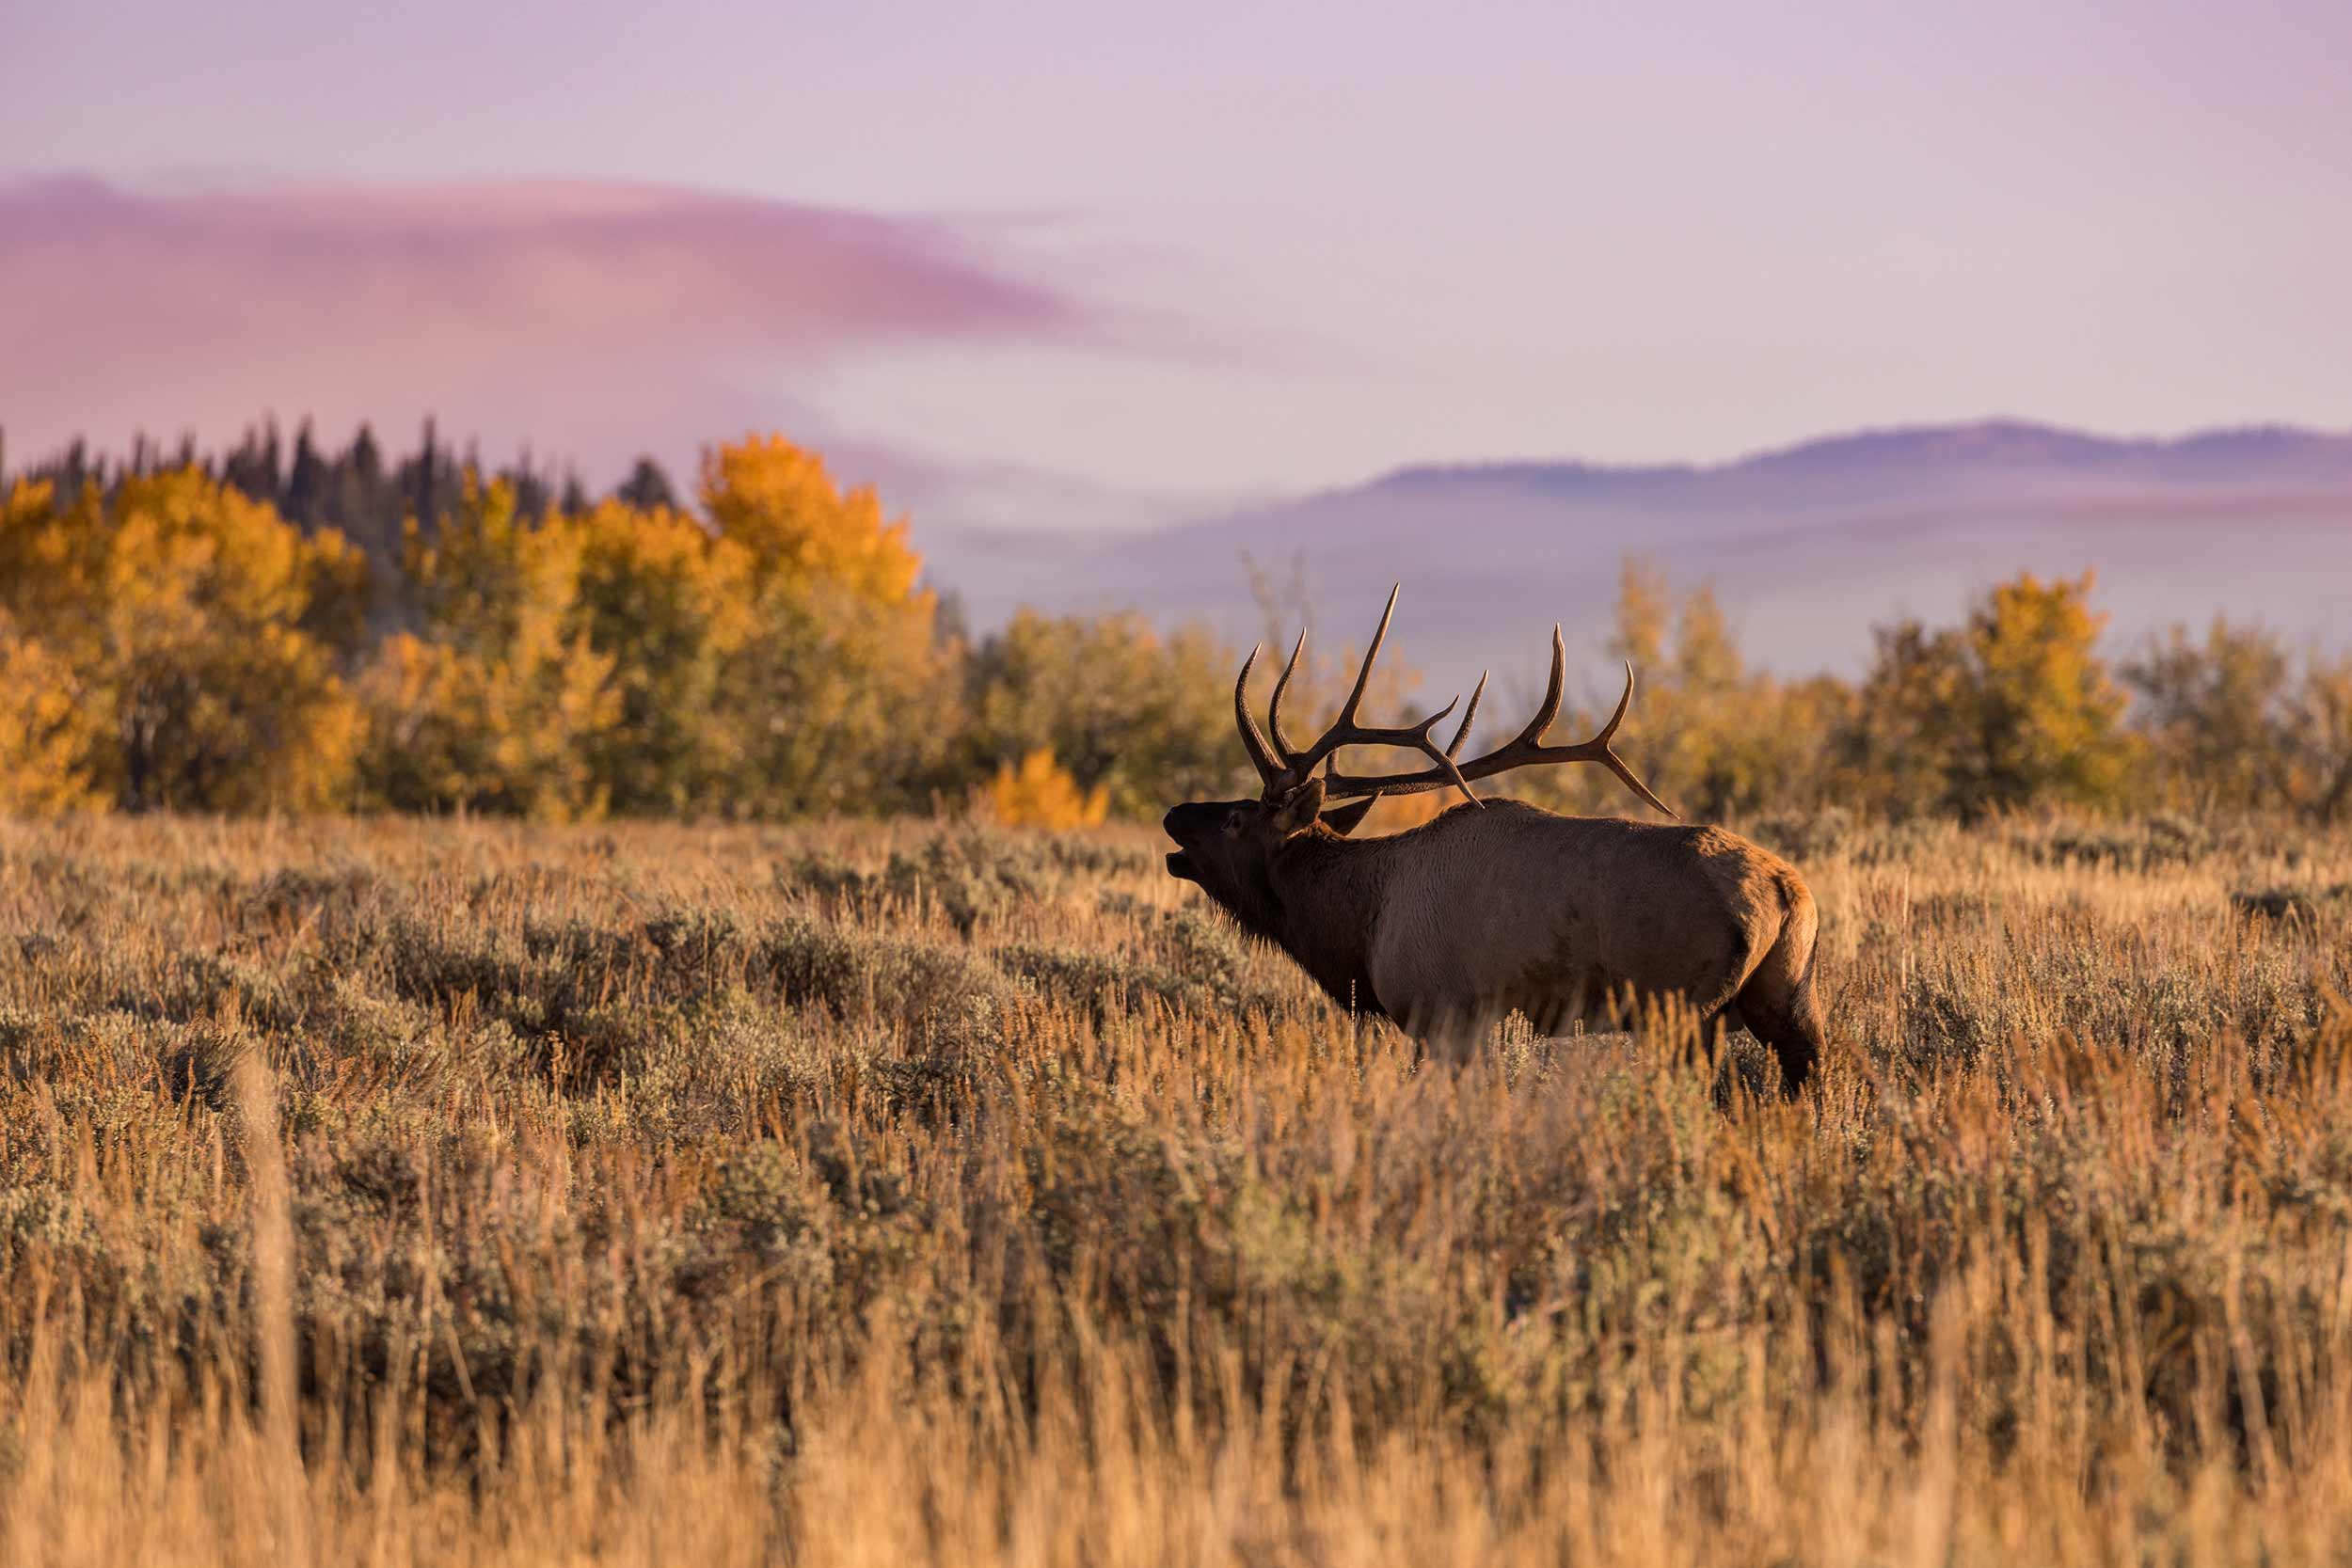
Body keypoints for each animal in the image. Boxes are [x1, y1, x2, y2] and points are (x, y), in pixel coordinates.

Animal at [1167, 585, 1825, 1090]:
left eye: (1237, 818)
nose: (1175, 814)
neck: (1361, 924)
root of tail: (1787, 893)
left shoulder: (1443, 1013)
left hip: (1682, 1007)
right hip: (1788, 998)